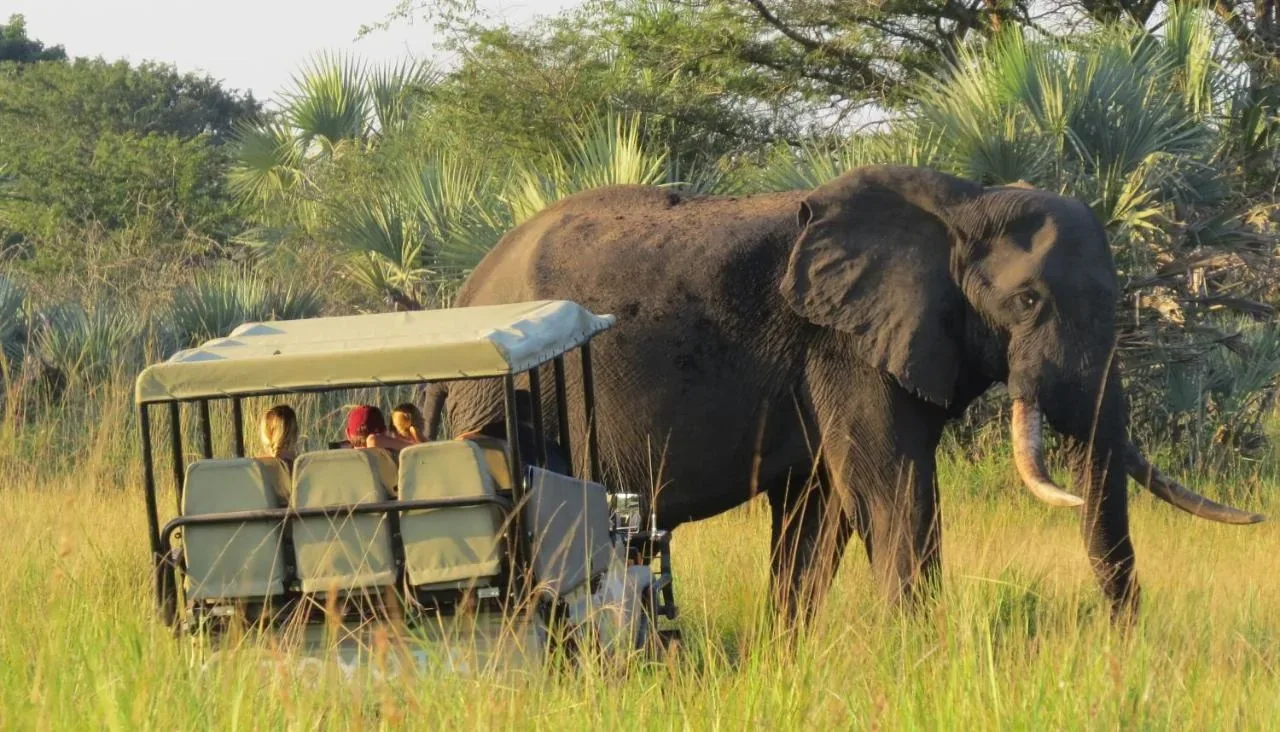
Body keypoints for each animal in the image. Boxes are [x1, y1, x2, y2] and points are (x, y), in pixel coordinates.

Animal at [426, 165, 1263, 622]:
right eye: (1027, 303)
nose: (1122, 648)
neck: (964, 203)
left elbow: (817, 516)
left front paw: (789, 658)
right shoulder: (847, 347)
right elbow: (893, 493)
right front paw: (919, 657)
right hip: (499, 398)